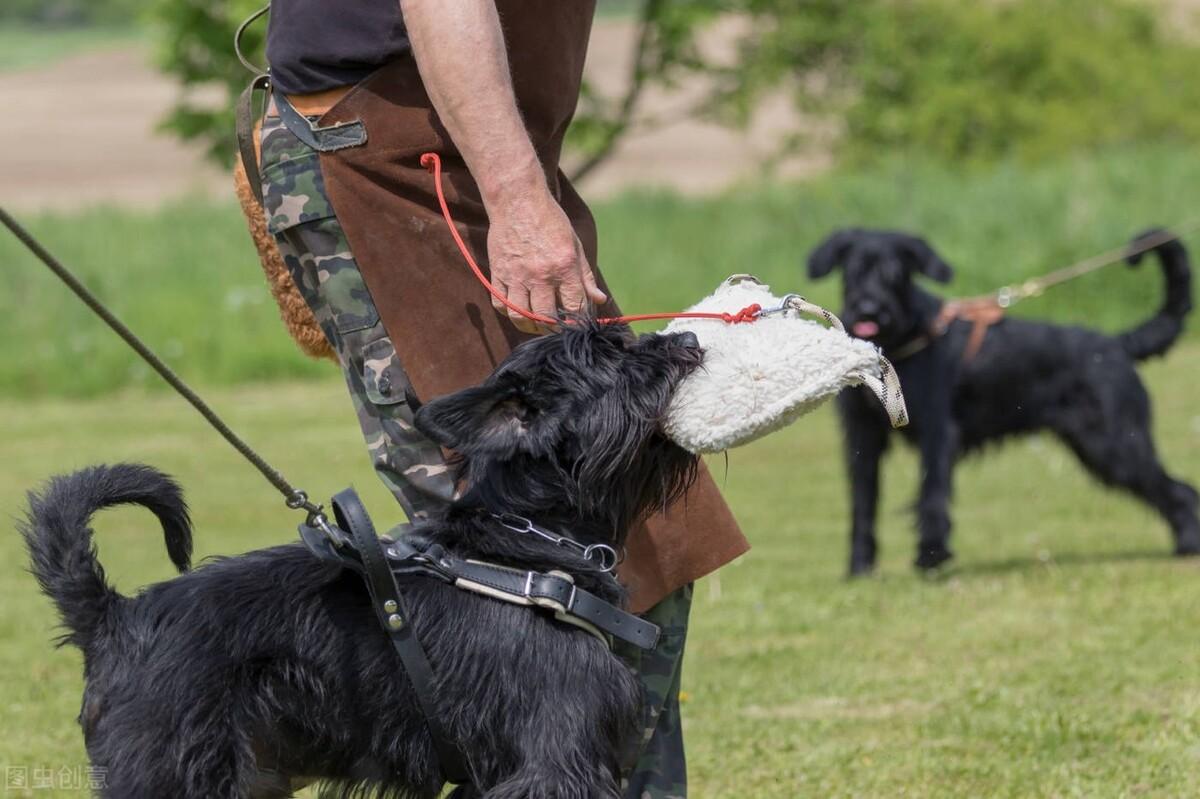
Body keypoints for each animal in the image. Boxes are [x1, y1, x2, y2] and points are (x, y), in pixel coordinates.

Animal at [806, 229, 1200, 573]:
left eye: (895, 274)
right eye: (853, 272)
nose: (869, 309)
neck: (902, 340)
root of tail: (1118, 344)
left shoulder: (937, 434)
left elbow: (932, 494)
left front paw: (931, 558)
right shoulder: (862, 438)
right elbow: (863, 503)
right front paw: (859, 567)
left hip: (1116, 445)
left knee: (1180, 490)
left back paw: (1188, 545)